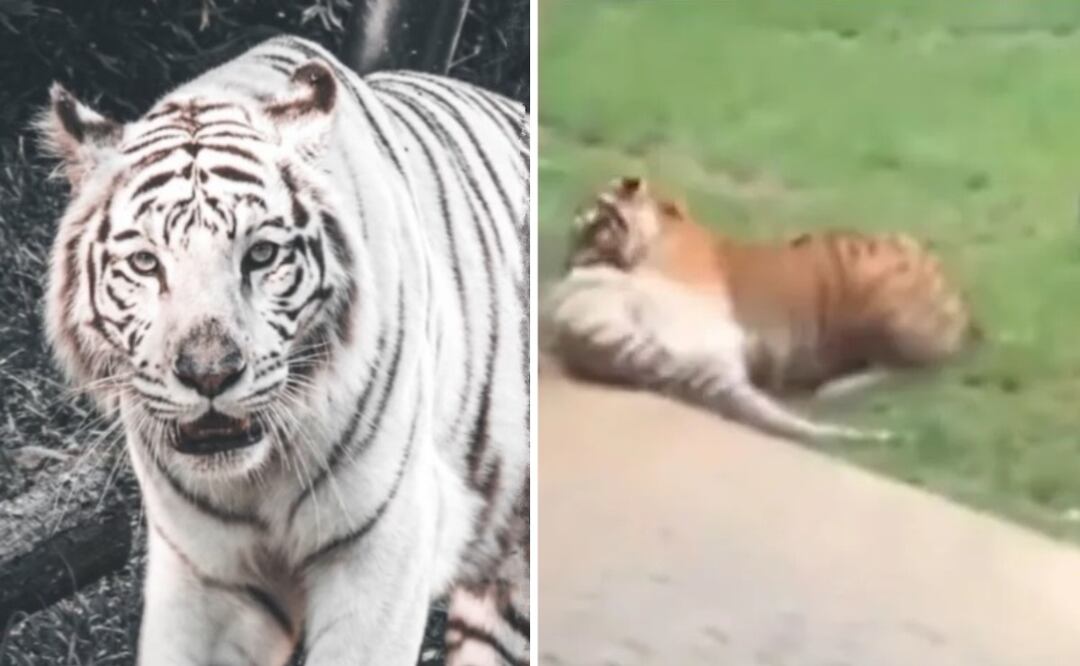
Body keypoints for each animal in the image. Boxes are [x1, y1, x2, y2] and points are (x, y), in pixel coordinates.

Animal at [40, 35, 529, 666]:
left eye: (262, 255)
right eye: (146, 263)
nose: (209, 374)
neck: (258, 477)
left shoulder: (382, 549)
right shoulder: (208, 571)